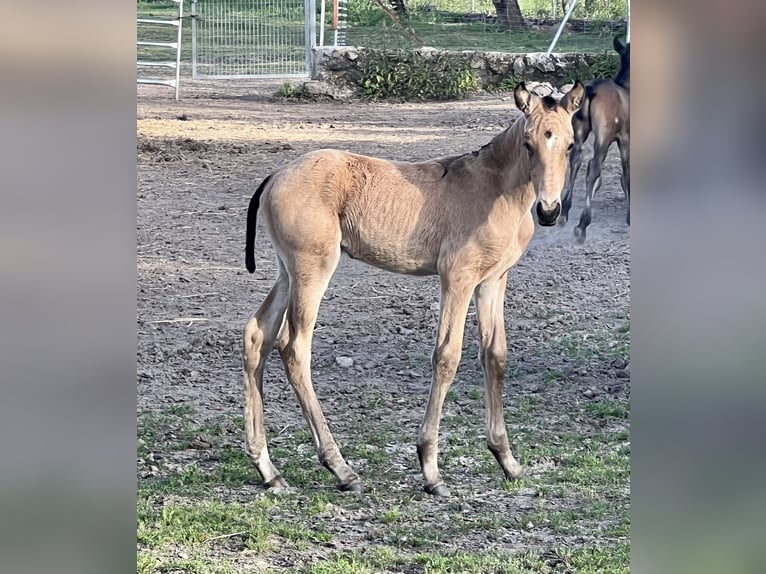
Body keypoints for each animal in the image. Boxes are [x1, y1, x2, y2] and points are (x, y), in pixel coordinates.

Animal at [560, 35, 632, 243]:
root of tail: (591, 91)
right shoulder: (625, 138)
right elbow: (626, 171)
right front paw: (629, 216)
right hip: (603, 135)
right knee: (593, 166)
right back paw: (582, 224)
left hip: (579, 130)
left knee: (576, 159)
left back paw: (564, 213)